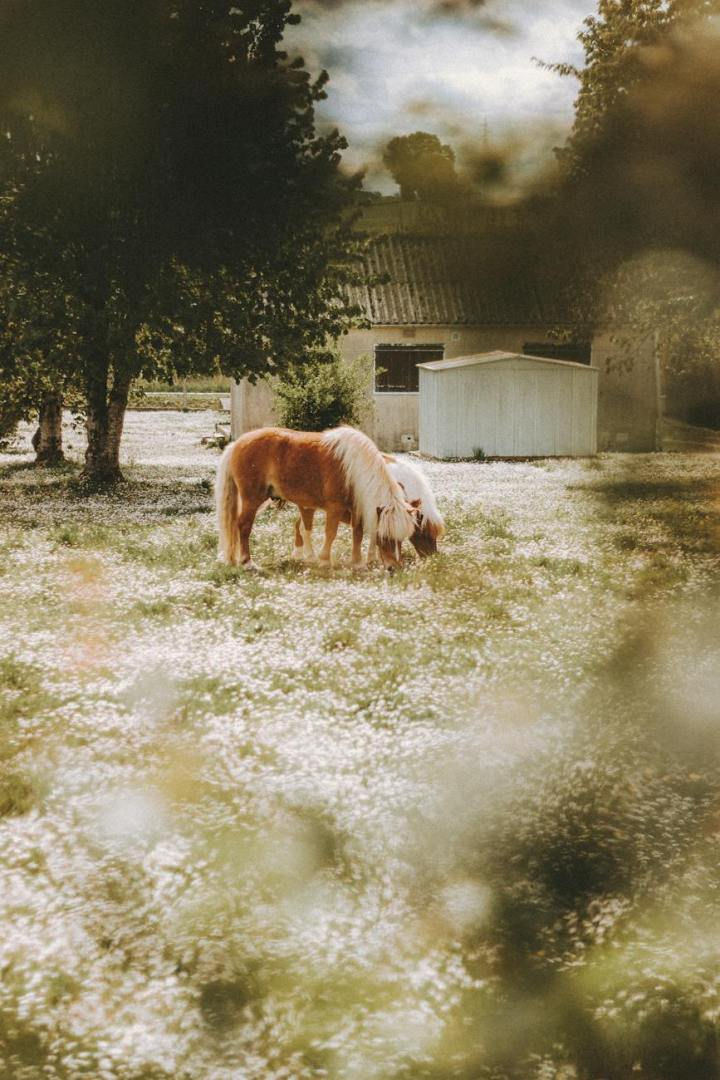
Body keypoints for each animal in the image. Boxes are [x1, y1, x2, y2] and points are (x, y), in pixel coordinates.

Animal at [216, 426, 419, 570]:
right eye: (384, 536)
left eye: (401, 539)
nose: (394, 568)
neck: (353, 468)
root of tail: (237, 444)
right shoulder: (335, 507)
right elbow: (330, 533)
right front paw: (324, 560)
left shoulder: (356, 508)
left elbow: (358, 533)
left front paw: (357, 562)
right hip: (252, 499)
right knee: (243, 526)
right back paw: (247, 563)